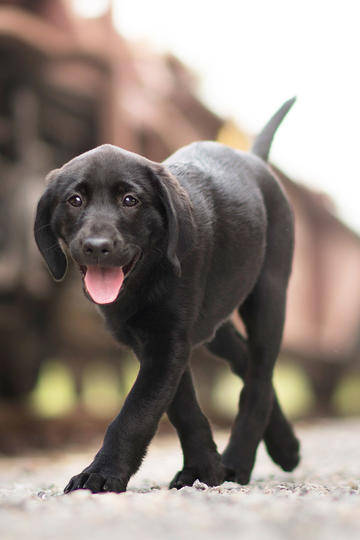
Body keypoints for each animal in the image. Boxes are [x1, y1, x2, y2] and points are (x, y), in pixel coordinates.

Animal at [33, 97, 300, 494]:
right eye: (75, 200)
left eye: (130, 200)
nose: (97, 246)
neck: (144, 279)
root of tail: (253, 159)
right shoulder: (152, 341)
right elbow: (181, 407)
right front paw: (203, 468)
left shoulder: (168, 341)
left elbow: (136, 412)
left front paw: (101, 474)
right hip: (214, 322)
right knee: (244, 358)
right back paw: (285, 446)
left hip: (269, 295)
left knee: (259, 380)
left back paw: (241, 461)